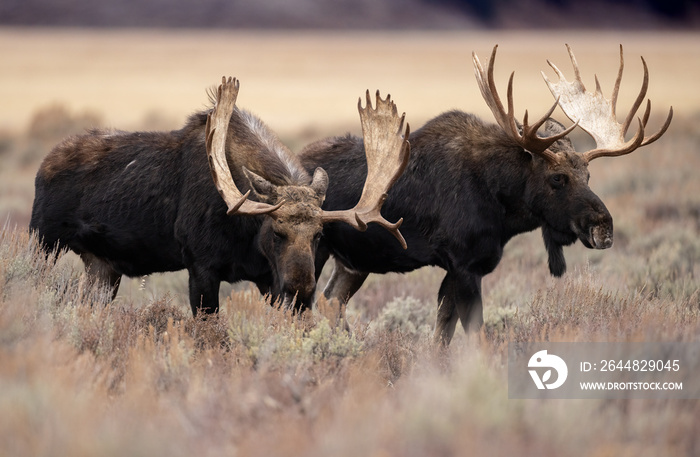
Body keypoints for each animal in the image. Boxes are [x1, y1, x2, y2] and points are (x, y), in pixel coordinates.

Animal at [30, 75, 410, 318]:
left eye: (319, 236)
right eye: (277, 232)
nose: (302, 292)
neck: (246, 235)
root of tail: (43, 165)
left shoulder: (267, 279)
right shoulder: (201, 267)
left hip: (101, 265)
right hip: (44, 241)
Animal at [300, 44, 672, 344]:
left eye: (588, 175)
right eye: (557, 178)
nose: (603, 227)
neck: (501, 203)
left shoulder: (460, 268)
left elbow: (442, 335)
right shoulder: (465, 265)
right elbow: (476, 338)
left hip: (354, 260)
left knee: (331, 300)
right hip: (315, 252)